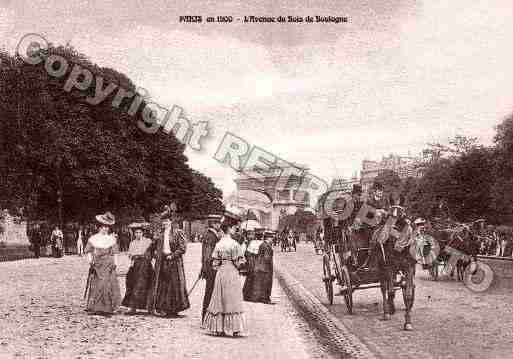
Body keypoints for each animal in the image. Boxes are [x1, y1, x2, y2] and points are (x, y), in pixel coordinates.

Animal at [372, 194, 416, 332]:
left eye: (401, 214)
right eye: (389, 214)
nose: (385, 235)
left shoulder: (409, 268)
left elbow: (408, 294)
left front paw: (408, 322)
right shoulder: (389, 267)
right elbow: (390, 291)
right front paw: (388, 312)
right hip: (381, 268)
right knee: (384, 288)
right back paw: (387, 310)